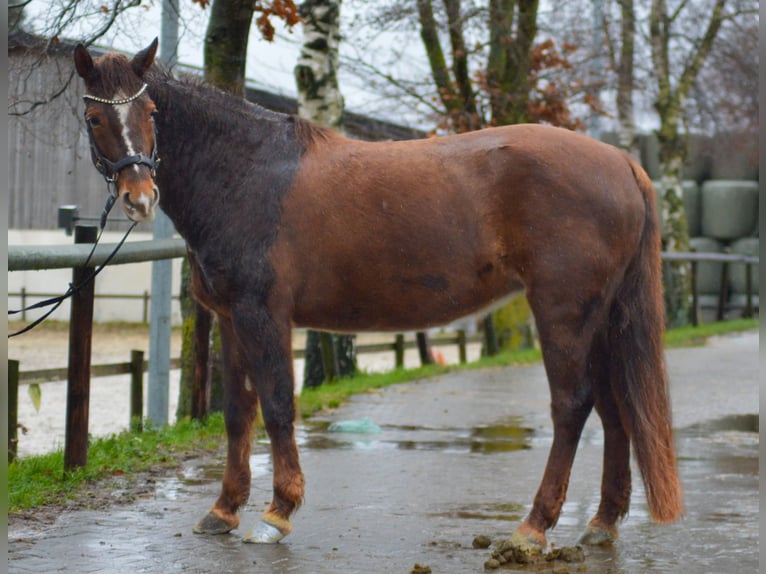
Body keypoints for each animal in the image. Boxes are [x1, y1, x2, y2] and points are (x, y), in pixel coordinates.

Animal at [73, 41, 684, 552]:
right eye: (95, 117)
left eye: (151, 113)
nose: (140, 197)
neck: (247, 172)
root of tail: (622, 163)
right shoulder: (230, 318)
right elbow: (238, 411)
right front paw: (223, 510)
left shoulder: (263, 314)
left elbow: (277, 405)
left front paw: (277, 513)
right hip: (600, 319)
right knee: (614, 407)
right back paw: (601, 523)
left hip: (563, 313)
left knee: (573, 406)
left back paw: (533, 527)